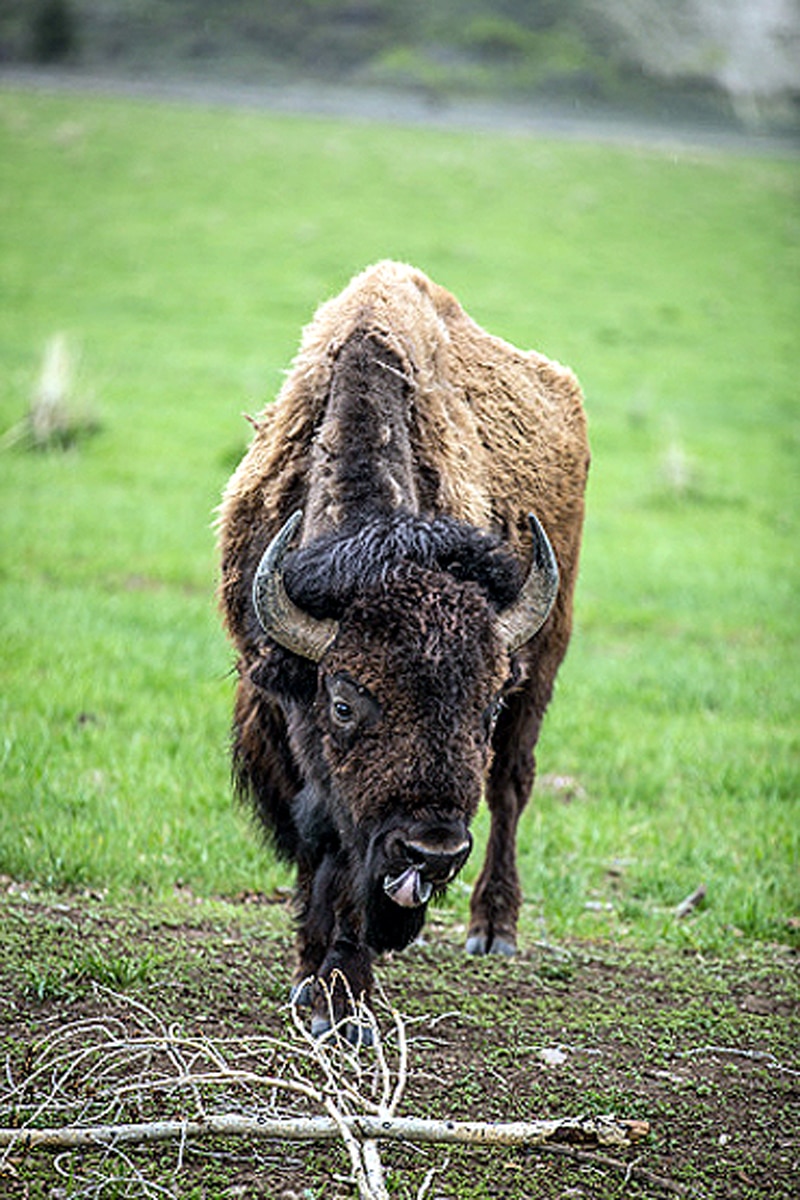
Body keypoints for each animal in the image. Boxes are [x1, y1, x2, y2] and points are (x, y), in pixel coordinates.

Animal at [218, 262, 589, 1038]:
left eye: (486, 707)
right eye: (344, 703)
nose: (434, 850)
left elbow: (351, 863)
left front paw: (345, 996)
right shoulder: (280, 715)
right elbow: (321, 839)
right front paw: (309, 975)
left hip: (548, 652)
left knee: (512, 785)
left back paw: (493, 930)